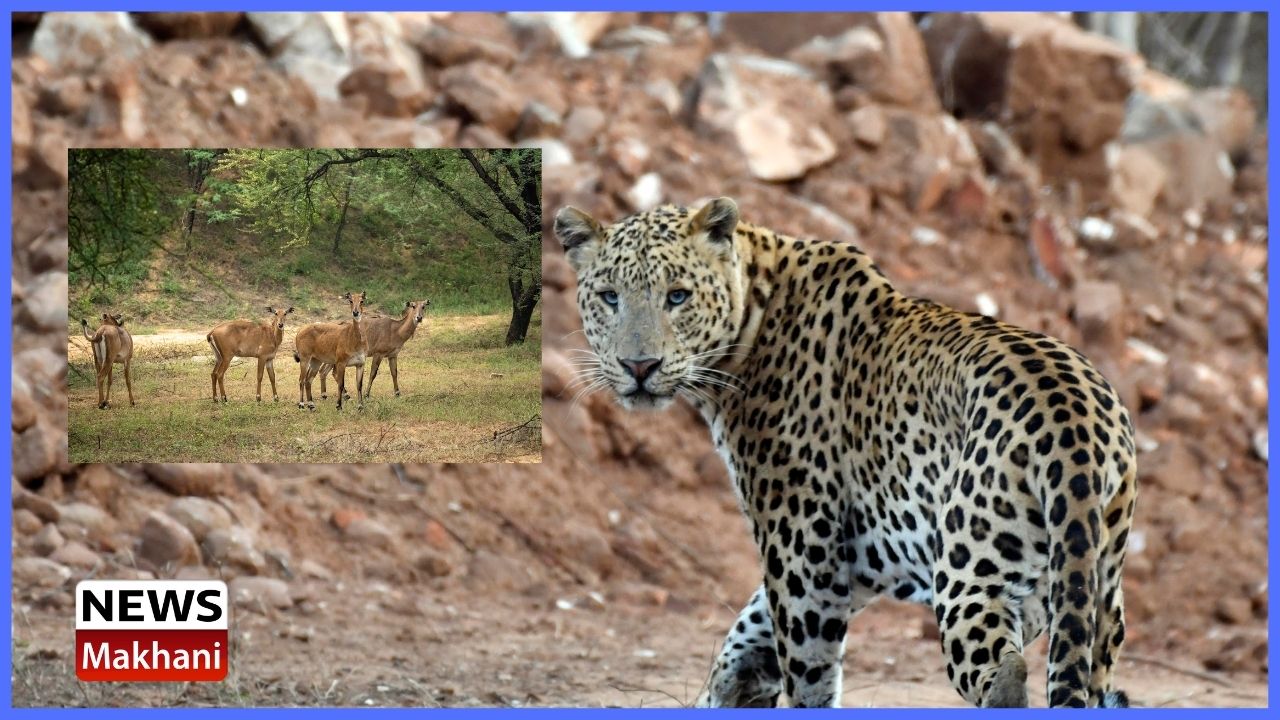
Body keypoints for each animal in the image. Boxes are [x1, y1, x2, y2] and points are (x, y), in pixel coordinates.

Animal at [554, 197, 1137, 708]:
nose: (639, 366)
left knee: (1003, 670)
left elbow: (805, 665)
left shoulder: (802, 548)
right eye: (609, 297)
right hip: (1096, 585)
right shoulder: (852, 561)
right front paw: (731, 689)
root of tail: (1075, 429)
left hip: (971, 571)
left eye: (677, 296)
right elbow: (748, 630)